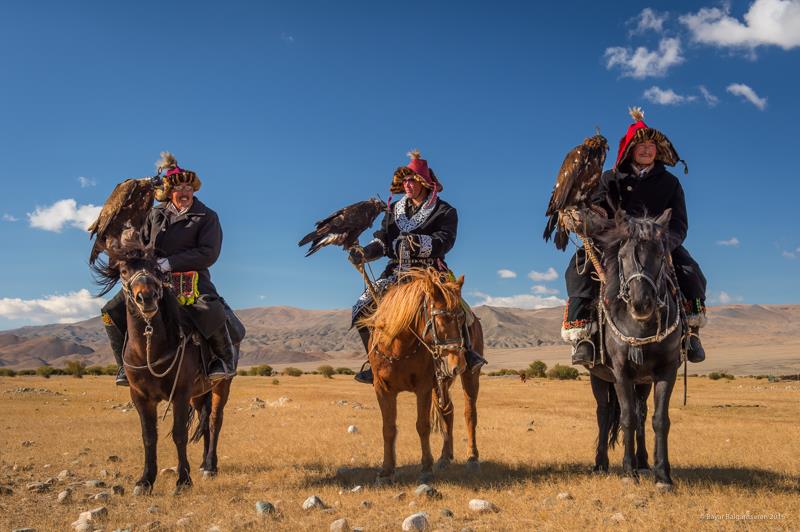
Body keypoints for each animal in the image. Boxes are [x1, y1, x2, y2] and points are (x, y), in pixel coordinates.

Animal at [94, 235, 233, 496]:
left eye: (157, 269)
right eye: (124, 271)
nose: (146, 297)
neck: (149, 349)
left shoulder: (180, 393)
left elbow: (179, 434)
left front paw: (183, 481)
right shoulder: (140, 396)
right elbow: (149, 436)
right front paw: (145, 481)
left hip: (221, 385)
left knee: (214, 421)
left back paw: (210, 466)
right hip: (199, 393)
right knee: (204, 421)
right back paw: (204, 464)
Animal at [360, 268, 484, 484]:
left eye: (461, 319)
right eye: (439, 320)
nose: (457, 364)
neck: (398, 347)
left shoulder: (423, 387)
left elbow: (422, 425)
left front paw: (426, 468)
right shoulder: (382, 388)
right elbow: (388, 428)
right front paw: (386, 471)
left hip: (469, 376)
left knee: (470, 413)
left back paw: (472, 458)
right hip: (442, 382)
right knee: (447, 411)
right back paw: (444, 457)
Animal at [592, 209, 684, 490]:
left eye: (660, 254)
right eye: (622, 256)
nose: (641, 303)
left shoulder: (667, 370)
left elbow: (659, 420)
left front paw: (662, 474)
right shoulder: (620, 372)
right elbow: (626, 419)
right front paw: (627, 472)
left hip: (642, 381)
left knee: (641, 412)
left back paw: (643, 462)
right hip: (599, 376)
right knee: (604, 413)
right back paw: (600, 464)